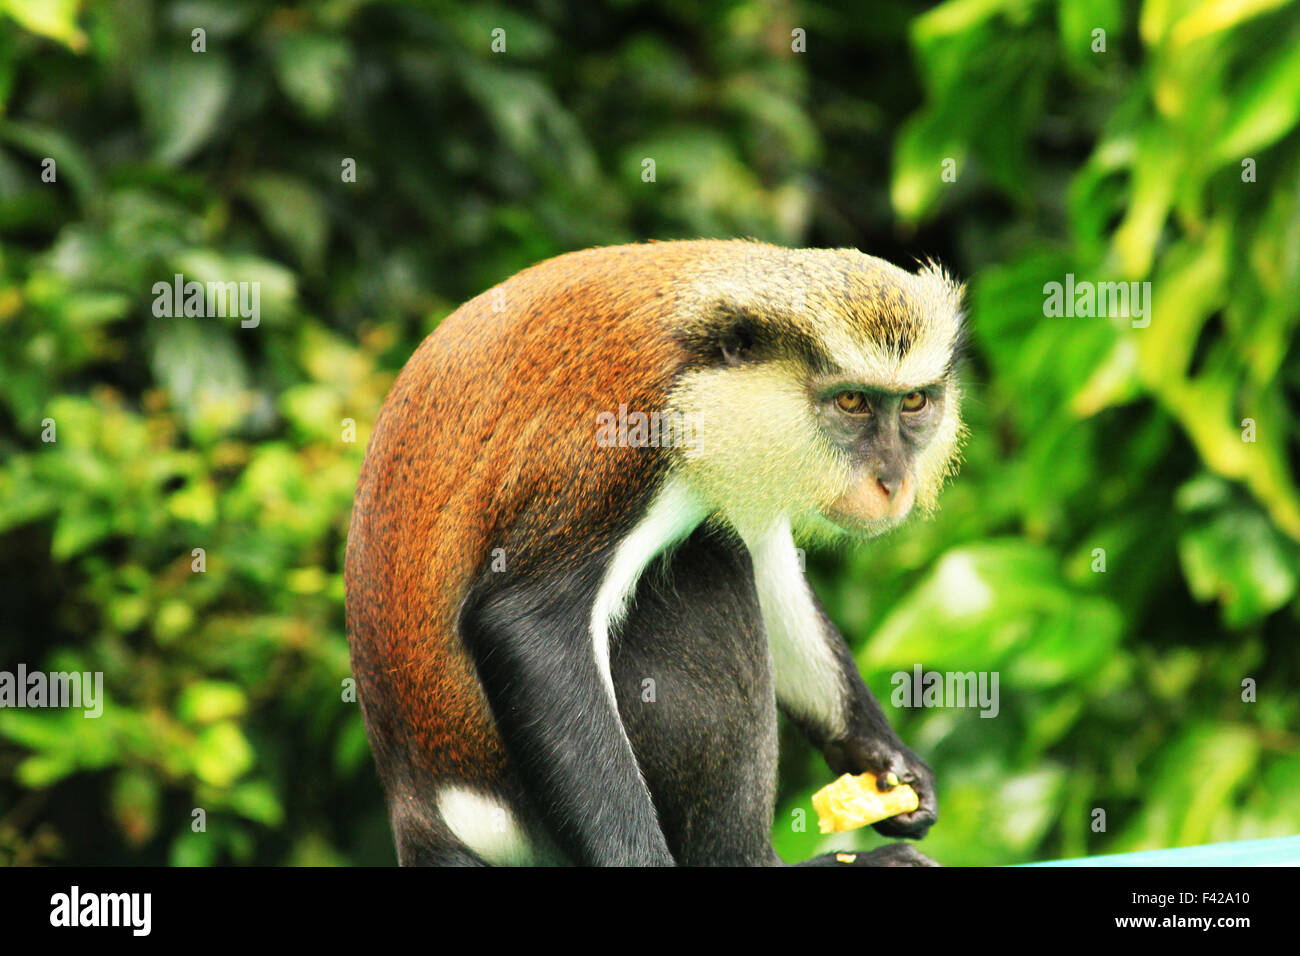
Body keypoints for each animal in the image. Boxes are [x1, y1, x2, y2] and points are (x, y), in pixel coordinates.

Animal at [345, 238, 967, 868]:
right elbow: (527, 623)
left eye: (913, 402)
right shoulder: (625, 445)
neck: (705, 366)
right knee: (713, 560)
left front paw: (884, 759)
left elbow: (764, 549)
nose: (892, 480)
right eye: (852, 402)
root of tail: (422, 814)